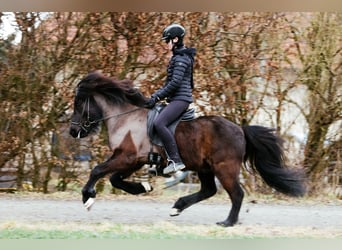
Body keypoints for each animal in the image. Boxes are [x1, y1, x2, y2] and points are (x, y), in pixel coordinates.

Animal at [69, 71, 304, 228]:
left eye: (79, 103)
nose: (73, 131)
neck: (125, 118)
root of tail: (240, 129)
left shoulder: (127, 157)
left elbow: (98, 171)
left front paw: (87, 198)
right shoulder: (134, 161)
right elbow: (115, 179)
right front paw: (143, 187)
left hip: (224, 168)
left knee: (236, 193)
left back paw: (228, 222)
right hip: (205, 168)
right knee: (209, 190)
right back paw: (178, 206)